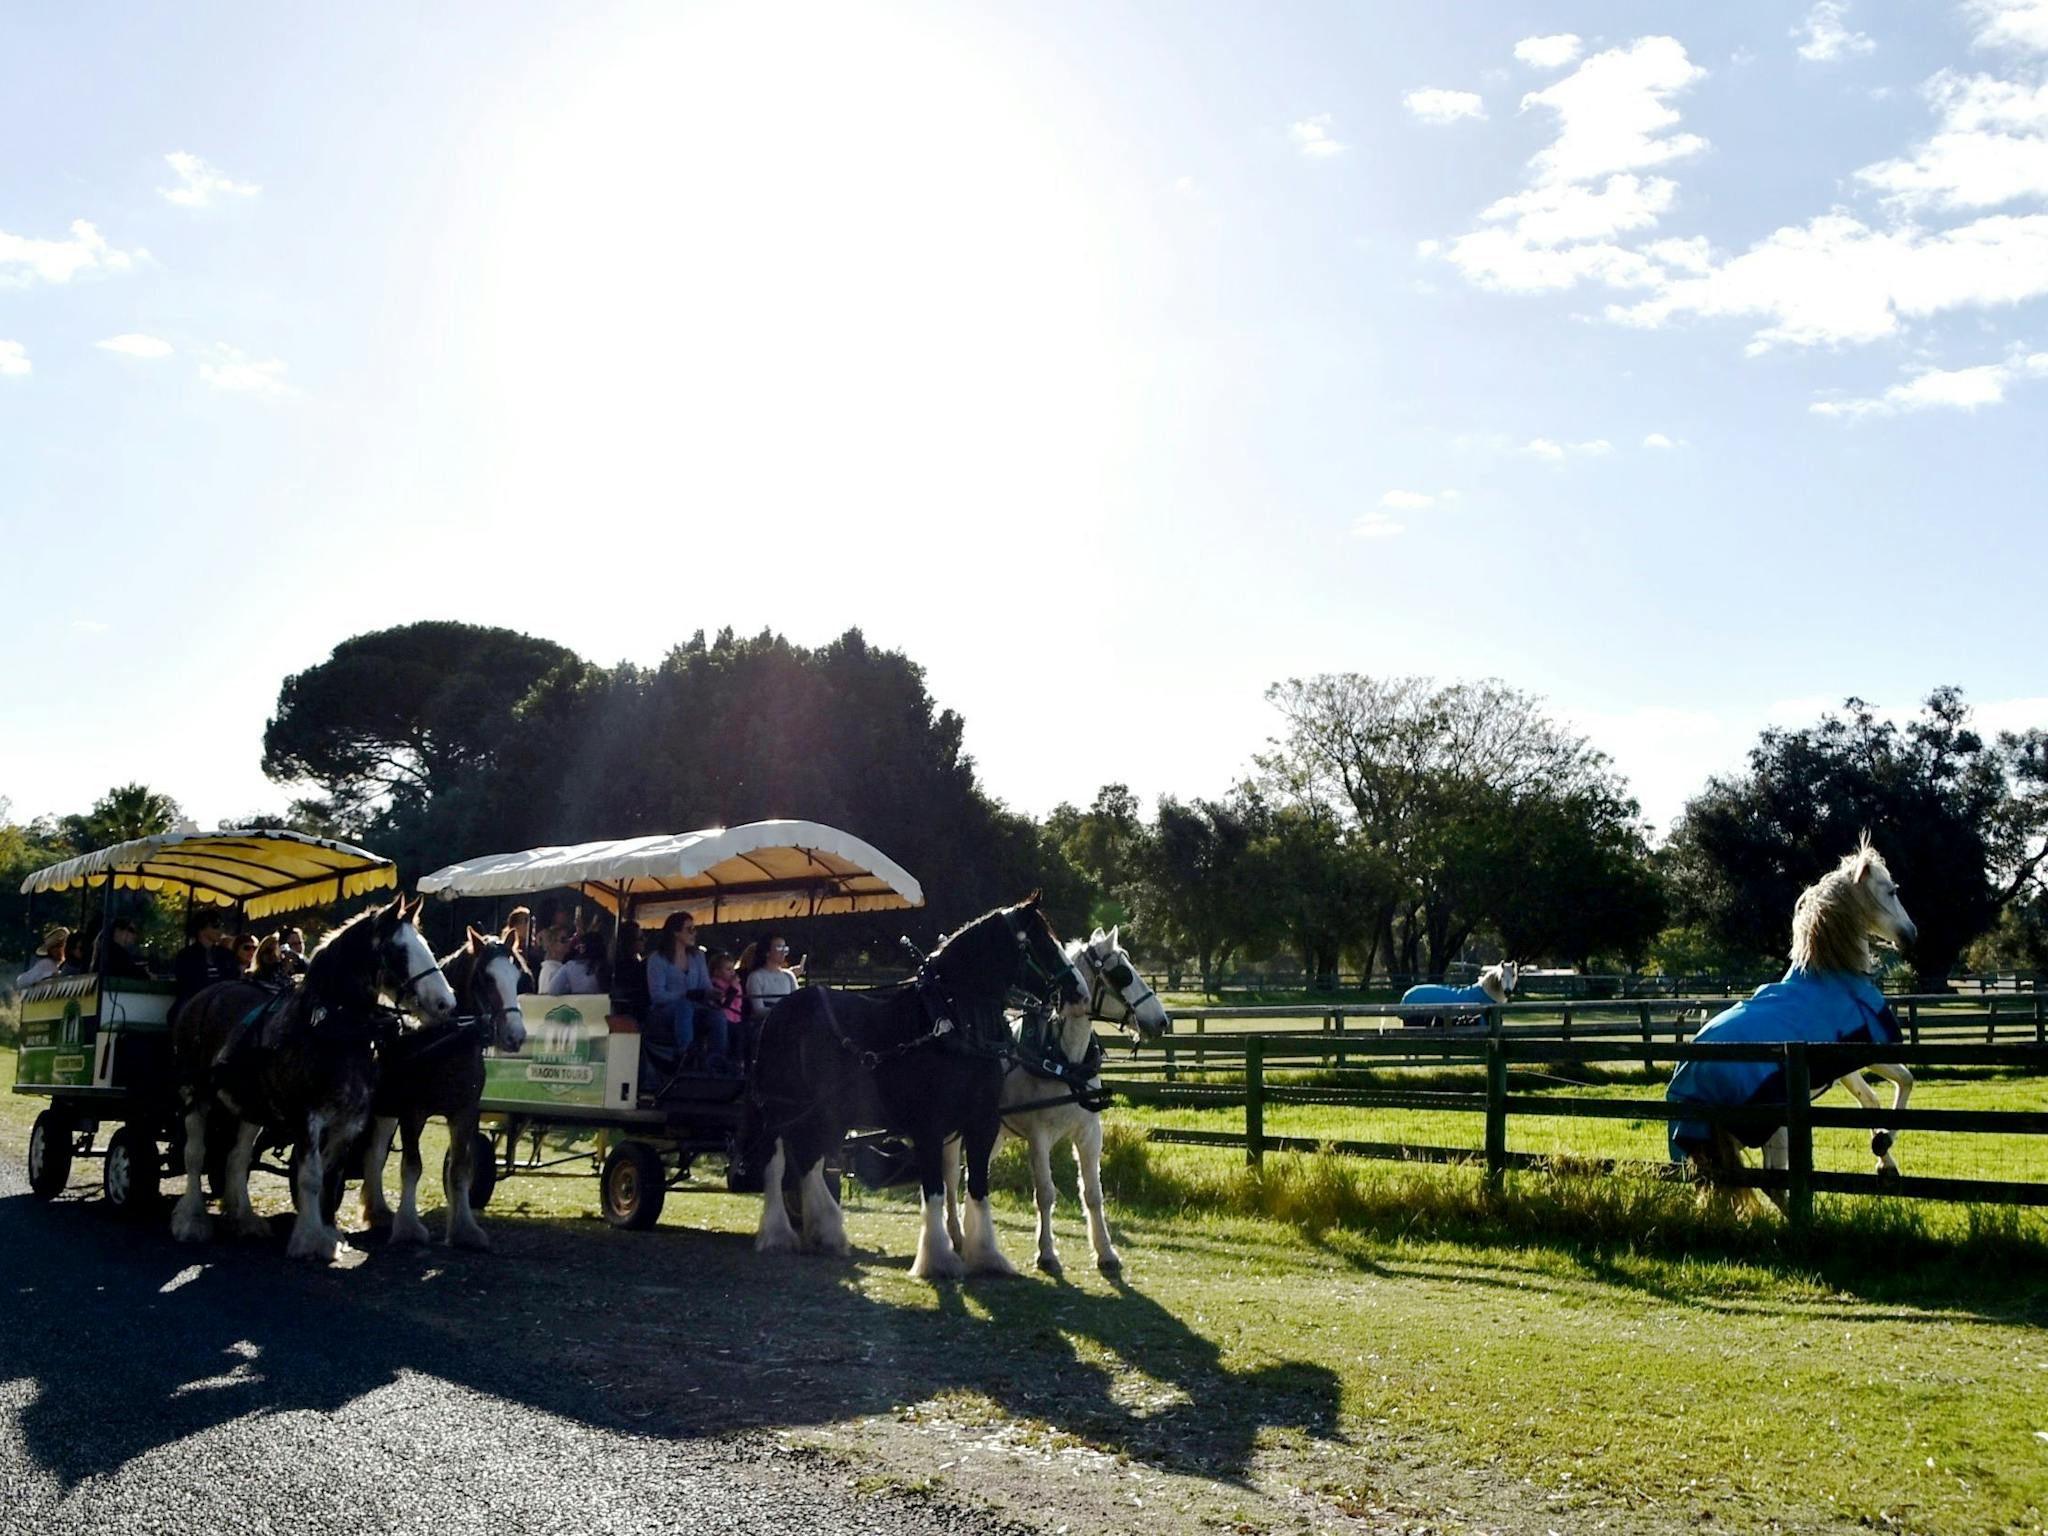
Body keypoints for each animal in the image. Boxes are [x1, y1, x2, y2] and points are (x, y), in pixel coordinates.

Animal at [171, 897, 456, 1269]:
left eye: (425, 945)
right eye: (399, 950)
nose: (445, 1004)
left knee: (237, 1156)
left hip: (250, 1106)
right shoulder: (307, 1118)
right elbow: (310, 1177)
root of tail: (205, 995)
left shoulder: (349, 1122)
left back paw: (244, 1218)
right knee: (195, 1153)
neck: (331, 1027)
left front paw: (330, 1232)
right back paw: (192, 1219)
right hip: (196, 1094)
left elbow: (330, 1180)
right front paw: (309, 1239)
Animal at [364, 925, 532, 1253]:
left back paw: (378, 1210)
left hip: (384, 1112)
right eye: (486, 977)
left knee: (375, 1154)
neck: (446, 1039)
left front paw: (465, 1229)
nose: (515, 1036)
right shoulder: (413, 1113)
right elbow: (412, 1166)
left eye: (517, 978)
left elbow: (460, 1170)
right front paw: (409, 1227)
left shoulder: (465, 1113)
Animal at [737, 897, 1089, 1277]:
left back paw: (826, 1234)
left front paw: (987, 1256)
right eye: (1044, 943)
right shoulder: (928, 1127)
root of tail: (779, 1010)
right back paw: (778, 1235)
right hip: (782, 1109)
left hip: (826, 1115)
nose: (1080, 994)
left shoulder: (982, 1123)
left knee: (809, 1164)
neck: (949, 1025)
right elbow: (934, 1188)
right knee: (777, 1165)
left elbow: (977, 1187)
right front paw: (938, 1259)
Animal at [942, 933, 1171, 1277]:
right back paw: (954, 1236)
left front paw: (1106, 1252)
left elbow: (1093, 1193)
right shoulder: (1039, 1137)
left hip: (994, 1134)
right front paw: (1047, 1253)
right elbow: (1046, 1193)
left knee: (973, 1177)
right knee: (950, 1177)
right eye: (1123, 974)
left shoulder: (1089, 1133)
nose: (1162, 1021)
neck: (1064, 1060)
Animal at [1662, 835, 1916, 1212]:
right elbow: (1905, 1082)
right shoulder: (1869, 1051)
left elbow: (1870, 1100)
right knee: (1773, 1182)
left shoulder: (1844, 1067)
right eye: (1891, 890)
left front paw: (1885, 1163)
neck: (1830, 975)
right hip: (1775, 1130)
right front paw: (1883, 1145)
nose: (1911, 934)